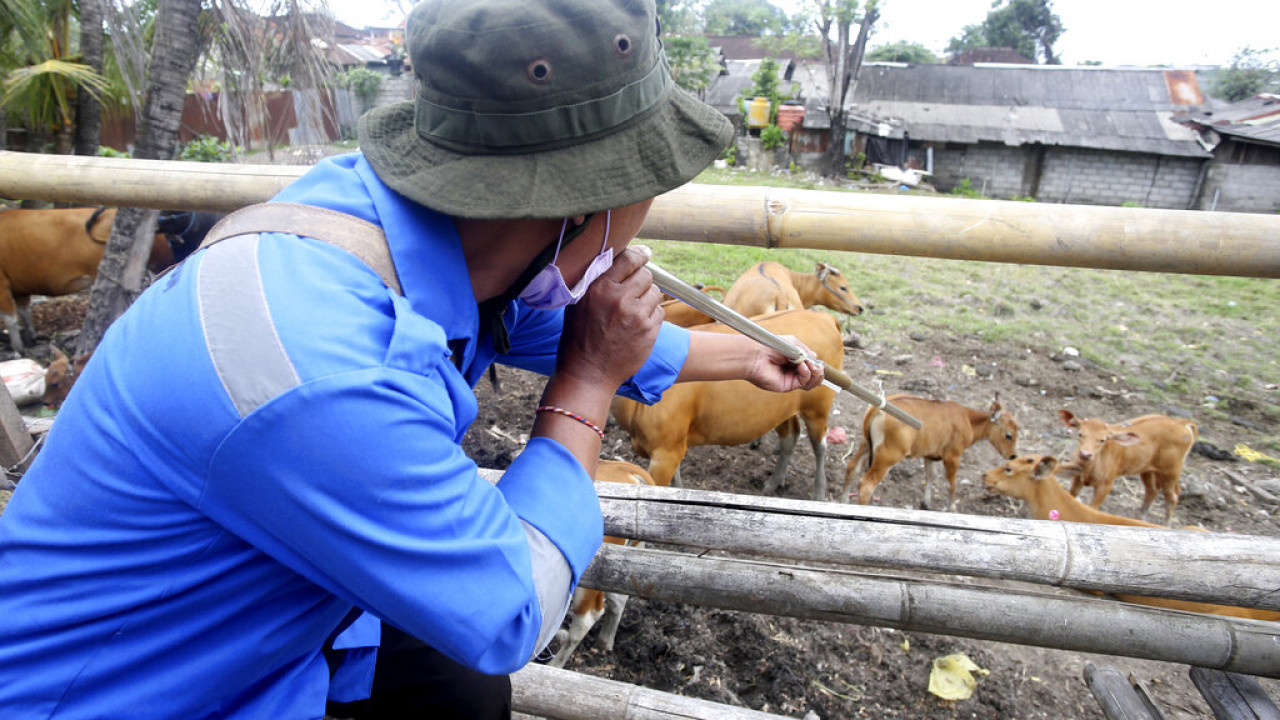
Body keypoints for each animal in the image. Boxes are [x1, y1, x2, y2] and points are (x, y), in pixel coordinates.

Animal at [606, 307, 839, 499]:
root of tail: (823, 316)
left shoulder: (666, 451)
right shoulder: (674, 443)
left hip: (818, 406)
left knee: (820, 446)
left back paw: (819, 492)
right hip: (784, 406)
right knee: (790, 436)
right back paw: (773, 483)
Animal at [839, 392, 1018, 509]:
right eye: (1009, 435)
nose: (1012, 455)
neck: (967, 419)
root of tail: (876, 409)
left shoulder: (929, 456)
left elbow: (930, 476)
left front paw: (926, 503)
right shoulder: (953, 456)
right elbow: (951, 484)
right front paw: (952, 508)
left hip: (865, 445)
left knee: (852, 468)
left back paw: (844, 501)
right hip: (887, 456)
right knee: (867, 484)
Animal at [1054, 409, 1192, 520]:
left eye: (1102, 440)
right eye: (1080, 434)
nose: (1085, 454)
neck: (1091, 467)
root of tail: (1181, 424)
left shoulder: (1106, 485)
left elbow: (1092, 509)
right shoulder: (1078, 478)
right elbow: (1071, 497)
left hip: (1171, 471)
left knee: (1172, 497)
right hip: (1147, 469)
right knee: (1152, 490)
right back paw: (1139, 517)